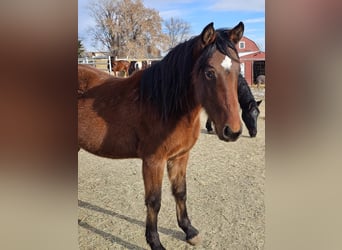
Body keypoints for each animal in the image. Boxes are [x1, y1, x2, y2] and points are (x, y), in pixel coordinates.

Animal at [79, 22, 244, 250]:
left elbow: (180, 192)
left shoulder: (180, 156)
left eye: (238, 70)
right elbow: (154, 201)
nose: (233, 131)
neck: (164, 104)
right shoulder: (153, 161)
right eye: (210, 73)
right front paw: (154, 241)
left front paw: (189, 230)